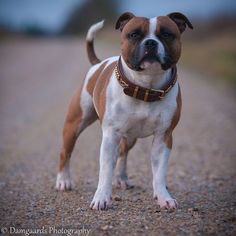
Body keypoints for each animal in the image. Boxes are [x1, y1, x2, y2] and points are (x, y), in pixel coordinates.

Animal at [56, 12, 193, 210]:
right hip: (74, 125)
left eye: (167, 34)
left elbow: (159, 172)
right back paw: (63, 181)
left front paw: (163, 197)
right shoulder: (110, 136)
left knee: (123, 153)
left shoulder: (164, 137)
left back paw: (121, 179)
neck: (145, 88)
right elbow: (105, 170)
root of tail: (98, 64)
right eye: (134, 34)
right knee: (65, 152)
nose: (150, 43)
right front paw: (101, 198)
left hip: (130, 137)